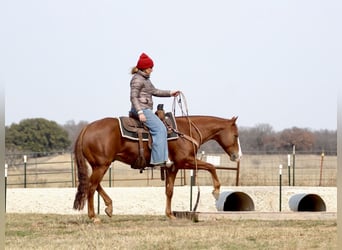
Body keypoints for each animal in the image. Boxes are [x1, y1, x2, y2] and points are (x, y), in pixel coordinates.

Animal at [73, 114, 242, 222]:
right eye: (236, 135)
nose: (237, 155)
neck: (185, 131)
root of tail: (87, 128)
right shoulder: (185, 161)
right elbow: (211, 166)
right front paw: (216, 191)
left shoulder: (173, 167)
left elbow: (169, 190)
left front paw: (170, 215)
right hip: (102, 165)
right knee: (91, 186)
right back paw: (94, 217)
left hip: (99, 165)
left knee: (93, 185)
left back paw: (109, 207)